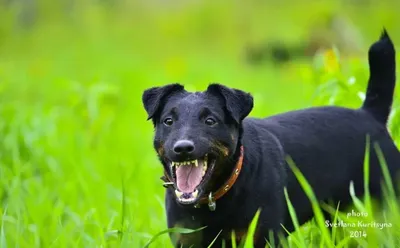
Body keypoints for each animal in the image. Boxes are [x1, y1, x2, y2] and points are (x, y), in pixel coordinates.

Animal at [142, 30, 398, 247]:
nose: (183, 148)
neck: (215, 196)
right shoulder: (186, 239)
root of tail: (370, 114)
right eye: (168, 121)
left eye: (210, 121)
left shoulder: (264, 237)